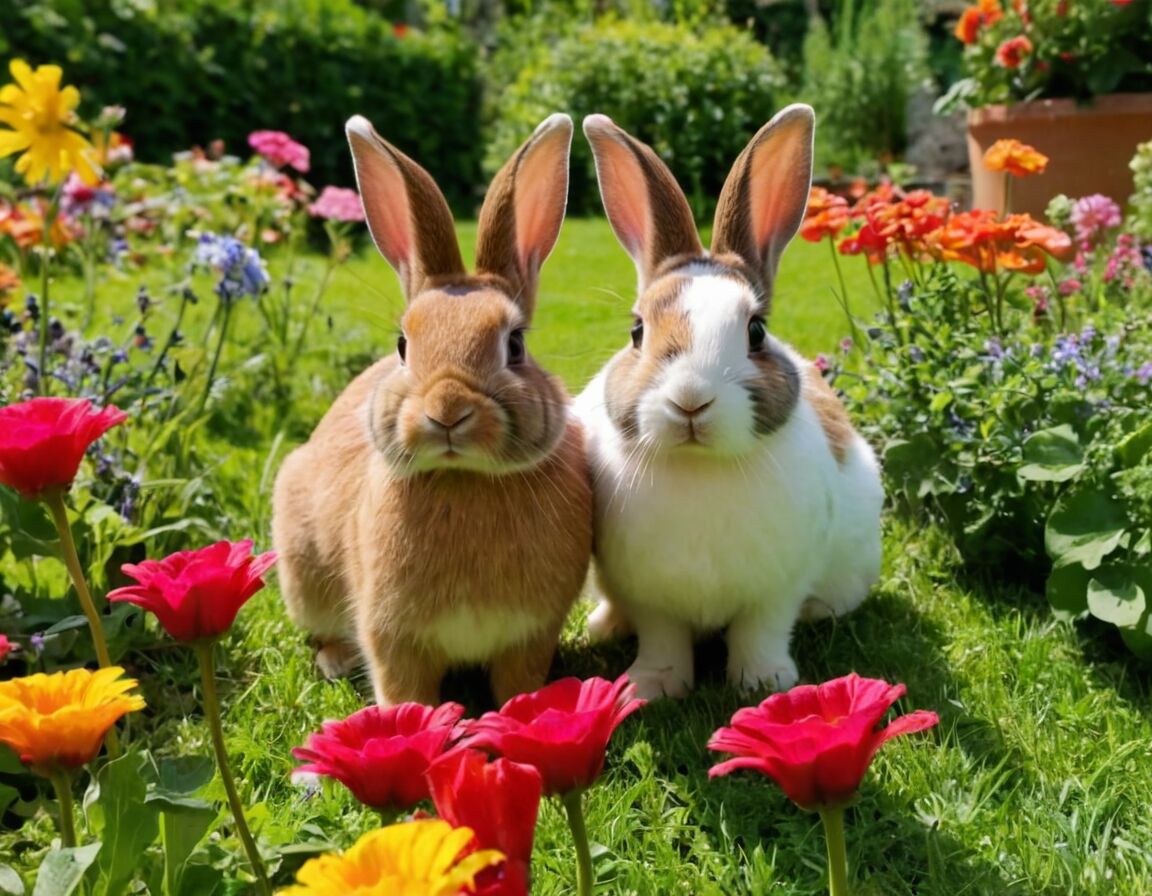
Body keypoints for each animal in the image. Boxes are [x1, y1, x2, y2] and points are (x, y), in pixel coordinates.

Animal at [272, 113, 593, 708]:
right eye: (404, 345)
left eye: (514, 345)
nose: (447, 412)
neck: (462, 477)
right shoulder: (392, 638)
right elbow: (404, 689)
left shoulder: (530, 636)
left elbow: (518, 683)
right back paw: (334, 659)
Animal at [573, 105, 883, 701]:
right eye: (637, 332)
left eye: (756, 331)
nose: (691, 400)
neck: (701, 468)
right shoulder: (650, 597)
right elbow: (663, 640)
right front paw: (652, 687)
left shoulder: (776, 589)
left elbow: (761, 631)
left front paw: (763, 683)